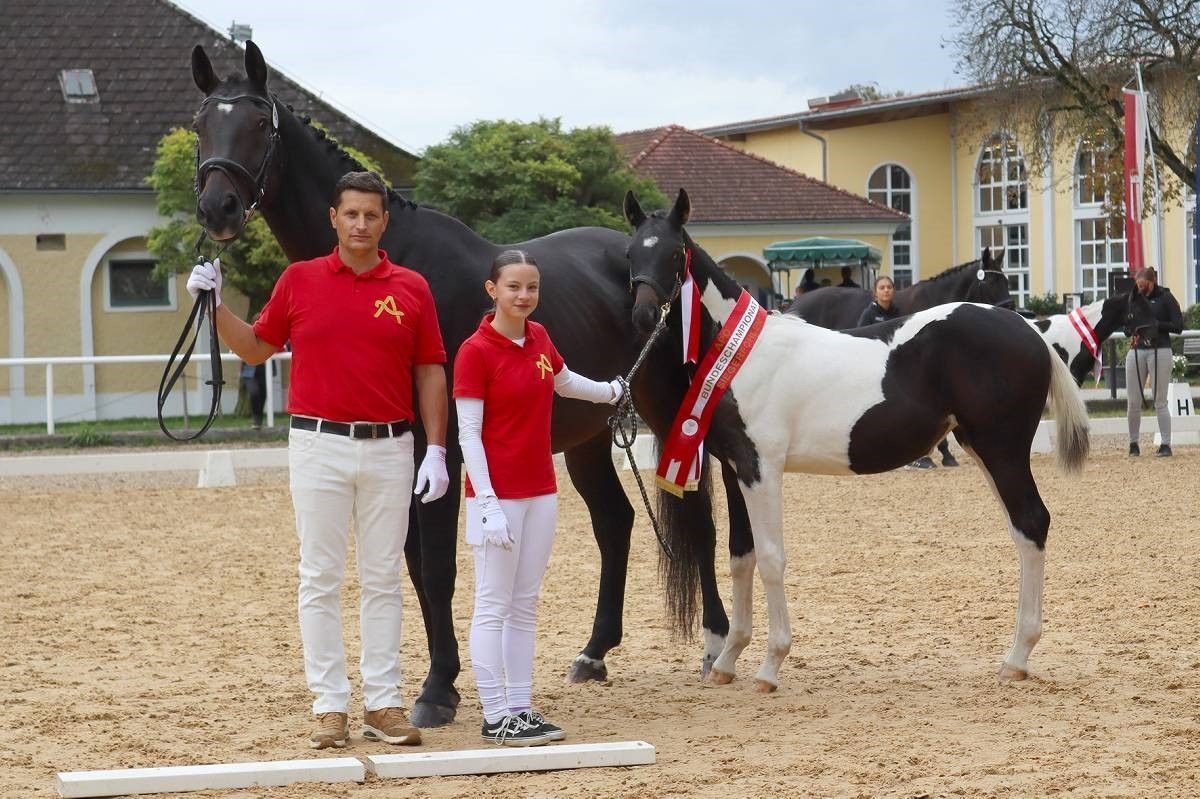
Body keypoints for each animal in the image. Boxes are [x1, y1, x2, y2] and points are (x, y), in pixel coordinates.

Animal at [190, 40, 734, 719]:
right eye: (200, 124)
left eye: (259, 125)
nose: (217, 207)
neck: (397, 262)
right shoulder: (407, 451)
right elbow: (416, 567)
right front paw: (433, 683)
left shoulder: (439, 447)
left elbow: (439, 568)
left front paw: (437, 689)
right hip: (586, 432)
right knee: (615, 522)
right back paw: (593, 653)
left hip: (674, 412)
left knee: (699, 519)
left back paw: (715, 645)